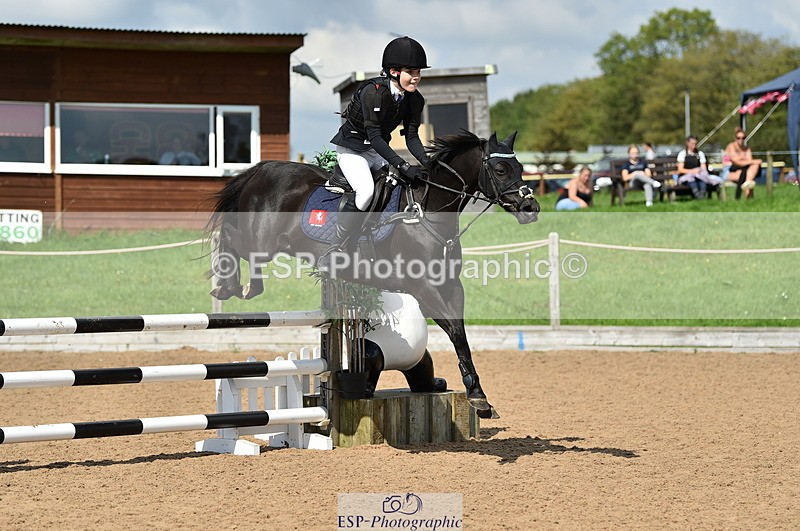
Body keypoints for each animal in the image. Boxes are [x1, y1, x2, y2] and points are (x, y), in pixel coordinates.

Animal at [206, 131, 540, 419]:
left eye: (520, 167)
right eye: (500, 169)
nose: (530, 207)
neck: (428, 213)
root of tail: (264, 168)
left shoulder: (451, 287)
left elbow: (461, 335)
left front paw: (478, 395)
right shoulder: (422, 289)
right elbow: (455, 332)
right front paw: (477, 396)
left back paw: (245, 286)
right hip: (260, 241)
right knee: (230, 236)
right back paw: (228, 285)